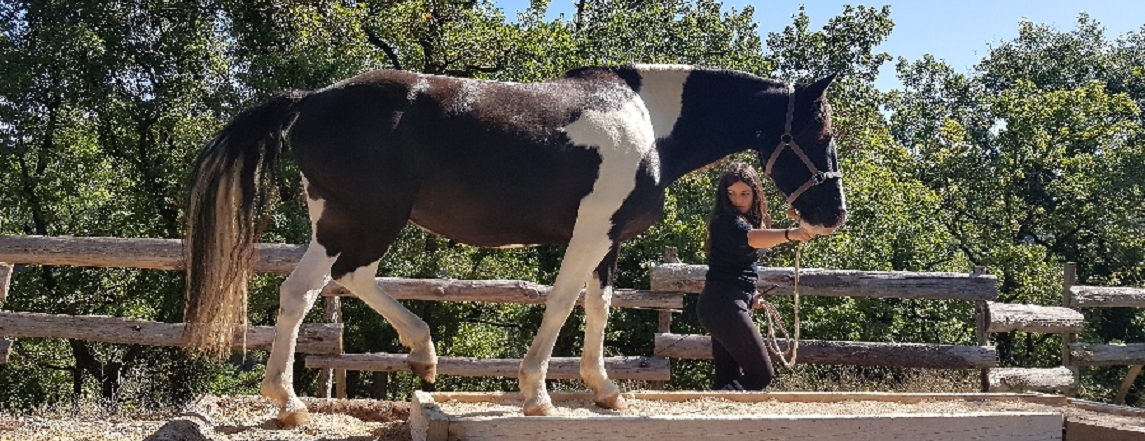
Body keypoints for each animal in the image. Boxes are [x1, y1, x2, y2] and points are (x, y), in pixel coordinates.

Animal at [183, 63, 847, 423]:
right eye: (819, 131)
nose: (832, 214)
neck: (648, 124)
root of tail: (310, 101)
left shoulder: (609, 238)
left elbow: (598, 306)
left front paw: (603, 389)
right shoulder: (588, 233)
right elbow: (560, 302)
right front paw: (537, 394)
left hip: (350, 221)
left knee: (351, 279)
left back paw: (422, 354)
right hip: (363, 219)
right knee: (302, 292)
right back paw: (289, 402)